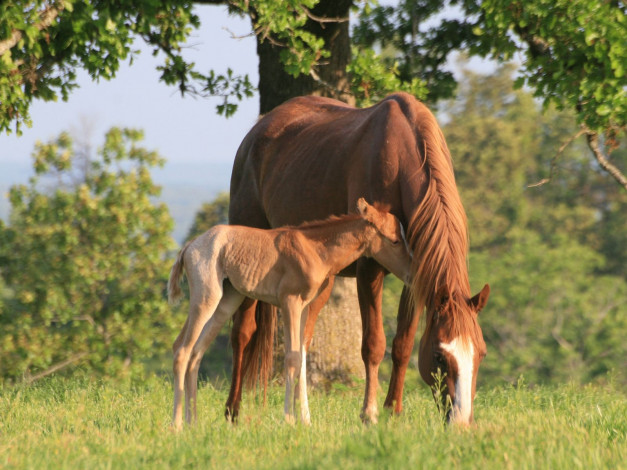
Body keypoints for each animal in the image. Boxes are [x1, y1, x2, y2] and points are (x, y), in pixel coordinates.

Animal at [168, 198, 412, 430]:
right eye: (395, 240)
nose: (410, 272)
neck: (315, 248)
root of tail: (189, 247)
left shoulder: (304, 308)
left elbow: (301, 356)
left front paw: (304, 421)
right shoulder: (289, 302)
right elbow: (292, 358)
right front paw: (289, 420)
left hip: (226, 302)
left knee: (195, 352)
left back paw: (193, 423)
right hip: (206, 297)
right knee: (182, 349)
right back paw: (177, 425)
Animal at [226, 92, 490, 426]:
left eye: (481, 353)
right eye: (440, 356)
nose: (462, 421)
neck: (400, 156)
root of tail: (256, 134)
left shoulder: (415, 277)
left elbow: (403, 345)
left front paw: (393, 412)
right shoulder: (369, 270)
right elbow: (374, 344)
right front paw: (369, 414)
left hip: (318, 285)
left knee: (302, 342)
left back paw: (302, 415)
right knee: (242, 333)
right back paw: (232, 411)